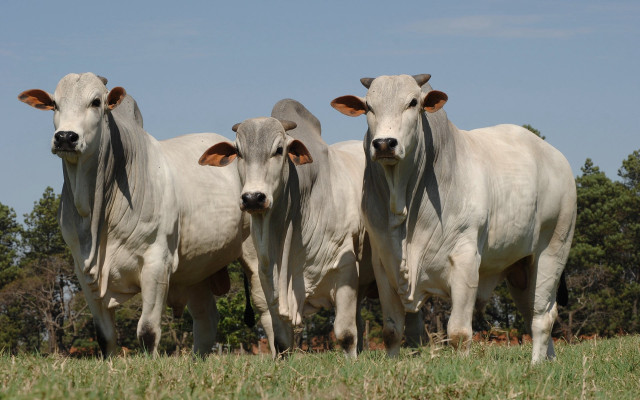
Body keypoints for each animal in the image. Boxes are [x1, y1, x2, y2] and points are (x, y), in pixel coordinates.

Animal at [18, 72, 265, 357]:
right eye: (55, 104)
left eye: (96, 102)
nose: (66, 137)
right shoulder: (83, 270)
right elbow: (105, 336)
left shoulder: (156, 262)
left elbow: (147, 331)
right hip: (197, 268)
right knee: (206, 319)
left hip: (255, 255)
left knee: (267, 307)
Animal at [199, 99, 374, 358]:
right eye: (239, 152)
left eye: (279, 150)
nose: (253, 198)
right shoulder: (267, 281)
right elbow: (281, 341)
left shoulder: (346, 268)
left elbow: (345, 334)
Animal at [331, 74, 576, 363]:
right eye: (368, 106)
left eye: (413, 102)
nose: (383, 144)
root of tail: (557, 158)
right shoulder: (384, 264)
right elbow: (391, 331)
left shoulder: (465, 260)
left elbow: (458, 332)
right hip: (520, 268)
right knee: (534, 311)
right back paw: (550, 360)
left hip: (553, 249)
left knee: (542, 316)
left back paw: (536, 363)